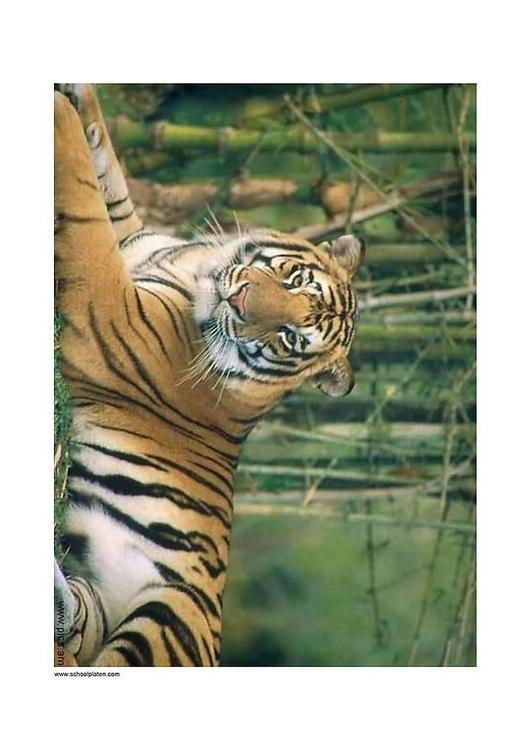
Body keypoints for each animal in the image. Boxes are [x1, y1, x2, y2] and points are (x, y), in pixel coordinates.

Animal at [53, 84, 366, 667]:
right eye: (293, 278)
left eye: (291, 336)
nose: (239, 301)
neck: (196, 267)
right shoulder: (132, 238)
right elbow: (107, 169)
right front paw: (79, 97)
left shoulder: (108, 314)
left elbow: (82, 200)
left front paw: (59, 114)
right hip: (94, 604)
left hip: (162, 623)